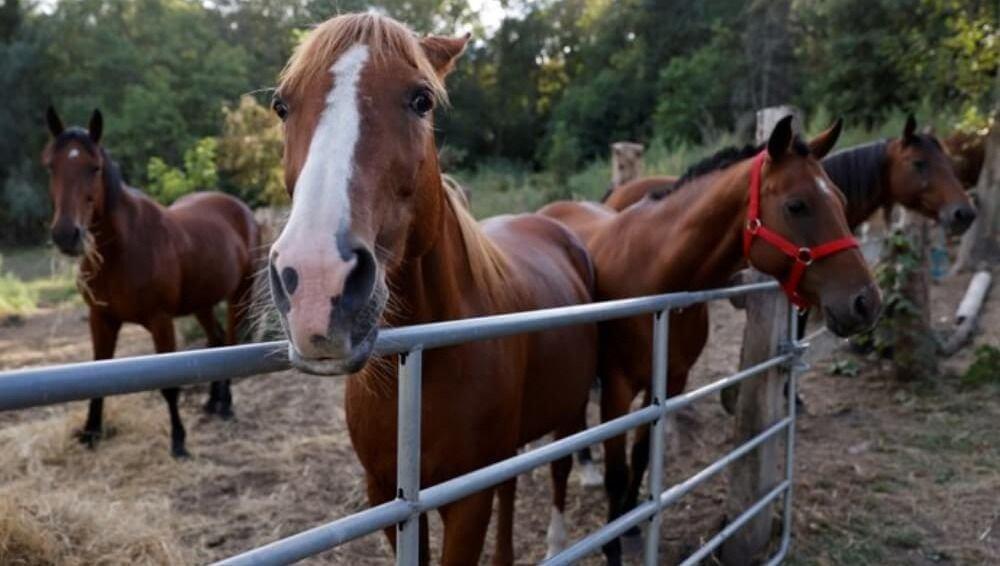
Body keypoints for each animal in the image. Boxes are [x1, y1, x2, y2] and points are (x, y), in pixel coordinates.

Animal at [43, 108, 262, 460]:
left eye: (94, 167)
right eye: (51, 165)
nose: (67, 234)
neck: (121, 250)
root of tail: (240, 209)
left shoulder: (160, 322)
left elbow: (169, 385)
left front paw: (179, 441)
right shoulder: (101, 319)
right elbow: (97, 372)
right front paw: (91, 433)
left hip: (240, 294)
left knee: (229, 342)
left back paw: (226, 405)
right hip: (202, 302)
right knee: (214, 341)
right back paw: (212, 402)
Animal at [264, 13, 592, 564]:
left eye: (422, 100)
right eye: (282, 106)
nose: (315, 282)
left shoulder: (467, 503)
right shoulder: (387, 497)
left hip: (567, 413)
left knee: (560, 470)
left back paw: (557, 543)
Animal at [540, 116, 884, 566]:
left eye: (842, 201)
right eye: (797, 205)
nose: (866, 302)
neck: (654, 272)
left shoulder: (668, 382)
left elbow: (641, 457)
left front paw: (632, 525)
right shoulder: (617, 388)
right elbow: (618, 473)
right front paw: (613, 542)